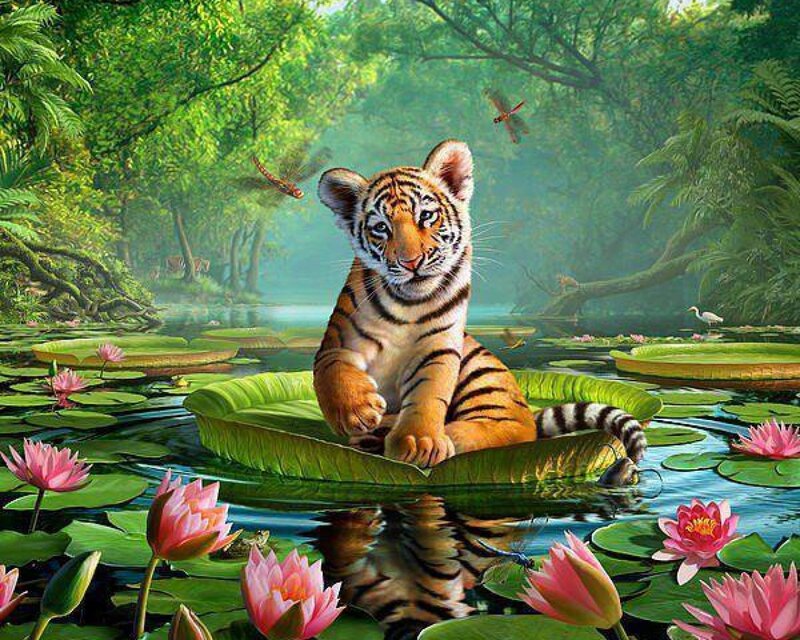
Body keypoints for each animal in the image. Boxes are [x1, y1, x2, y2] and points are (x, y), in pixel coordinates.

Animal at [315, 139, 647, 469]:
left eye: (426, 216)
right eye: (381, 227)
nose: (411, 262)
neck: (408, 304)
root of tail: (531, 412)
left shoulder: (439, 349)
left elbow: (428, 393)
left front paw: (418, 442)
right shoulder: (337, 341)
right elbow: (333, 371)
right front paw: (357, 412)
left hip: (483, 375)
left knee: (511, 429)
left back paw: (432, 435)